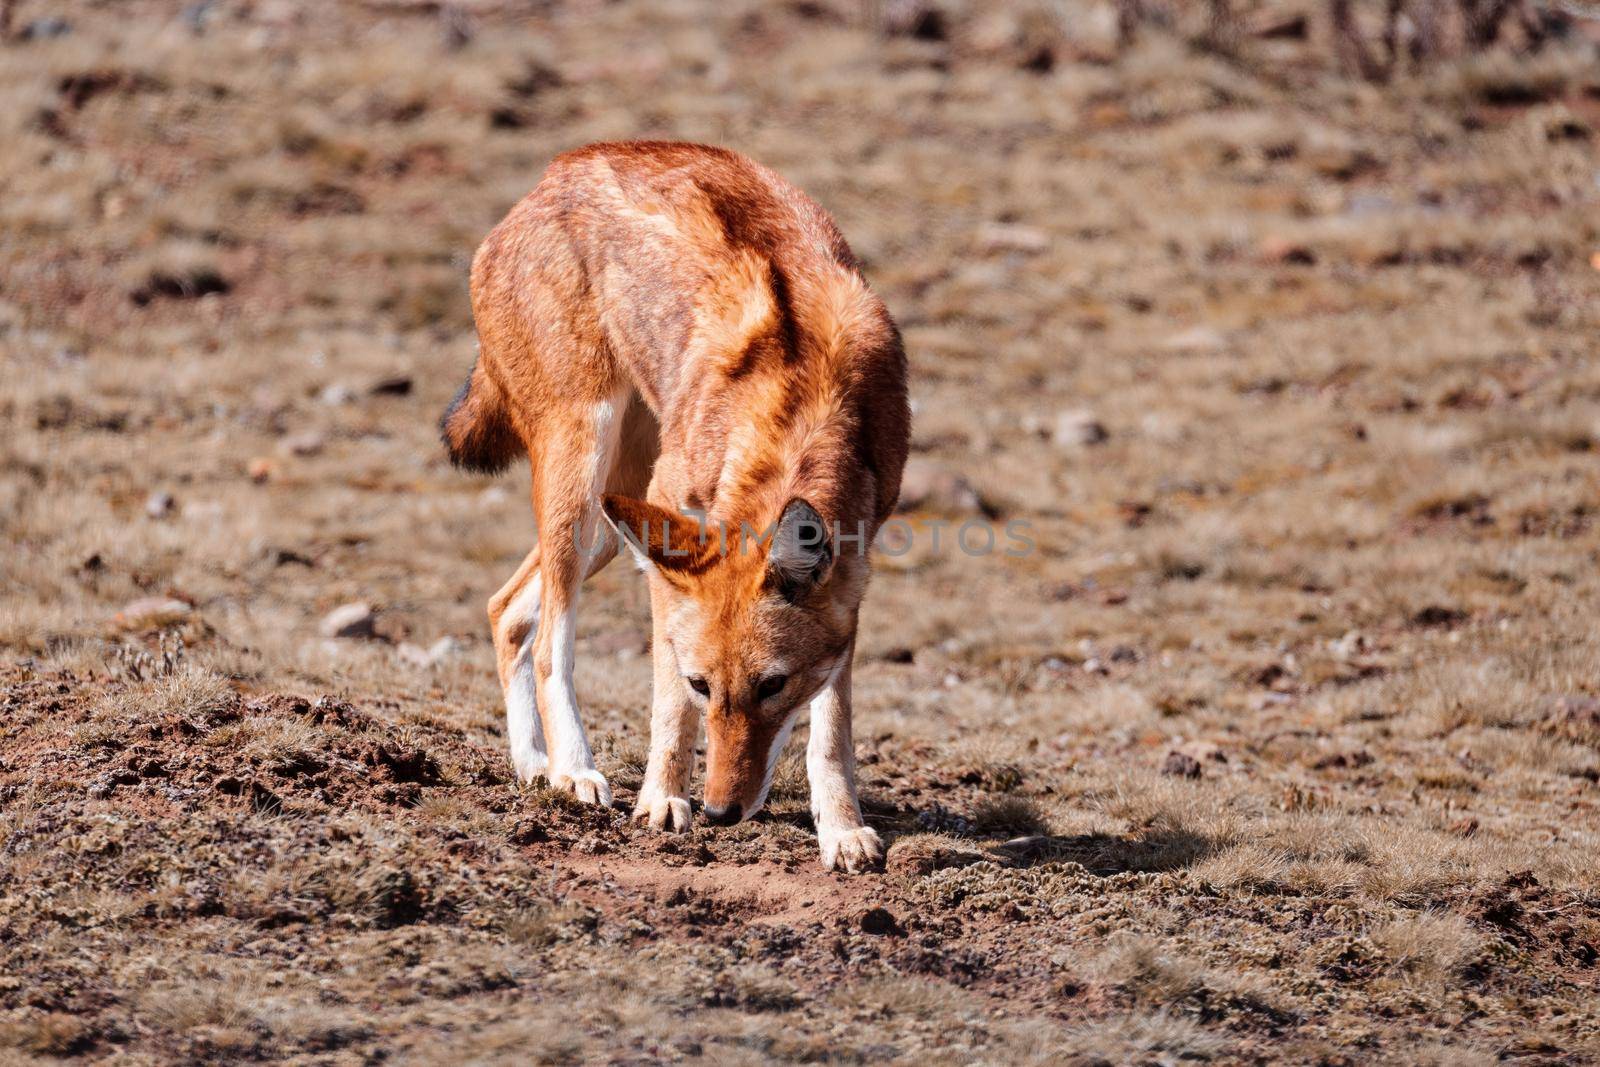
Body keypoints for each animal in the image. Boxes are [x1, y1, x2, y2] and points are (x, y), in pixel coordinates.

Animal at [441, 141, 915, 870]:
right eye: (703, 685)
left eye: (774, 686)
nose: (721, 811)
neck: (800, 405)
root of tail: (552, 174)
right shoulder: (671, 537)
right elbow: (668, 705)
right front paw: (662, 799)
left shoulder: (853, 575)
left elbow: (830, 731)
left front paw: (841, 829)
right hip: (588, 481)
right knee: (550, 641)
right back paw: (574, 769)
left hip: (613, 518)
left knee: (506, 609)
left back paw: (533, 766)